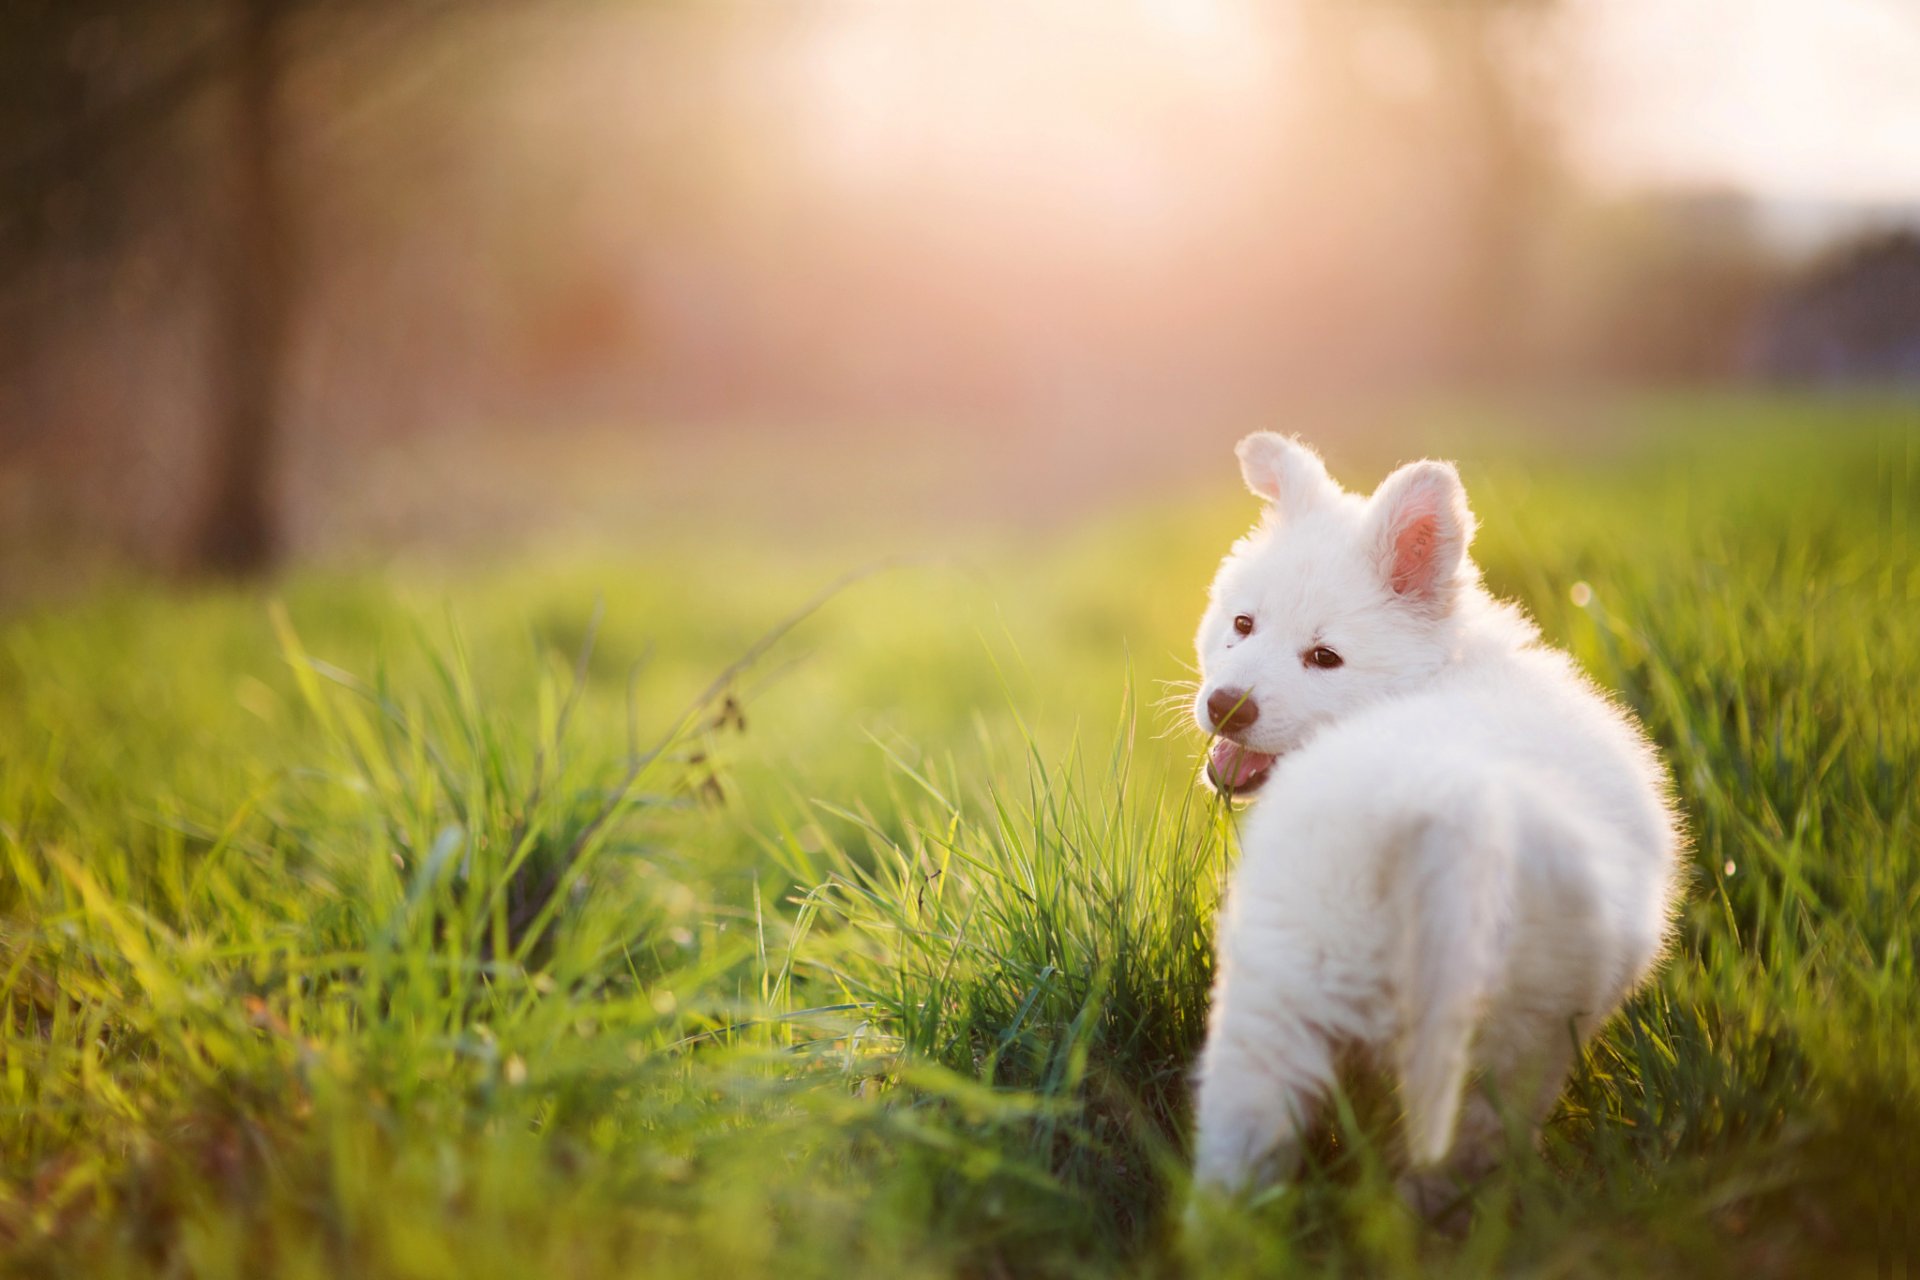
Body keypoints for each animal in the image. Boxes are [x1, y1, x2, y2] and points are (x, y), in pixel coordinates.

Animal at [1182, 435, 1681, 1205]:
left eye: (1324, 657)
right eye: (1243, 624)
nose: (1226, 706)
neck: (1439, 670)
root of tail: (1433, 809)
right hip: (1482, 1046)